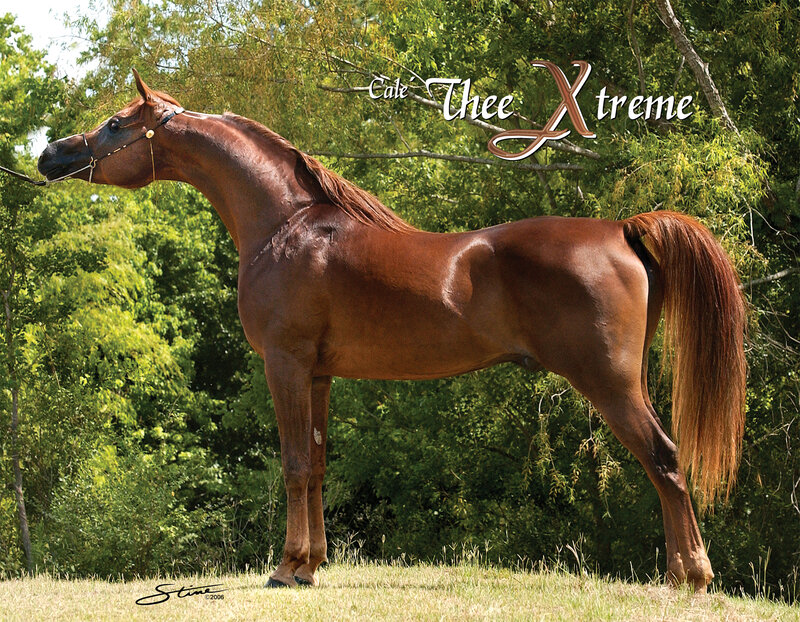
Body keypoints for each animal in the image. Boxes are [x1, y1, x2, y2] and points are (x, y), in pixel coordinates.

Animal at [37, 70, 746, 592]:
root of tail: (621, 229)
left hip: (610, 381)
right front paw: (309, 565)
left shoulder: (284, 363)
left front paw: (286, 569)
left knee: (666, 460)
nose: (50, 154)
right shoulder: (319, 374)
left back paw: (690, 577)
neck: (286, 226)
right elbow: (318, 465)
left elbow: (293, 464)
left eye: (115, 124)